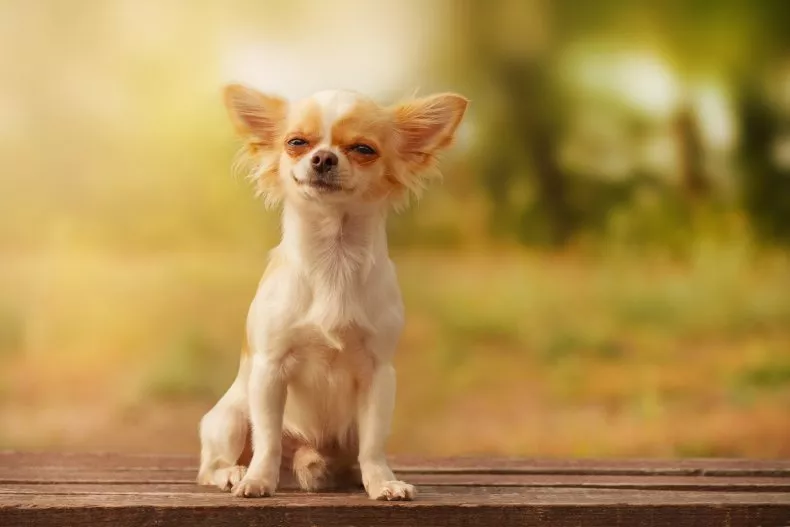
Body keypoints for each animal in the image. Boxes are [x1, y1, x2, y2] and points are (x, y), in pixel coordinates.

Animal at [200, 84, 470, 502]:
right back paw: (234, 472)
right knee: (212, 465)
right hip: (229, 417)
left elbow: (374, 444)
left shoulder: (378, 374)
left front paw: (383, 482)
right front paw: (258, 480)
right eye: (296, 143)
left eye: (363, 149)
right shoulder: (269, 370)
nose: (323, 157)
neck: (334, 259)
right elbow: (268, 439)